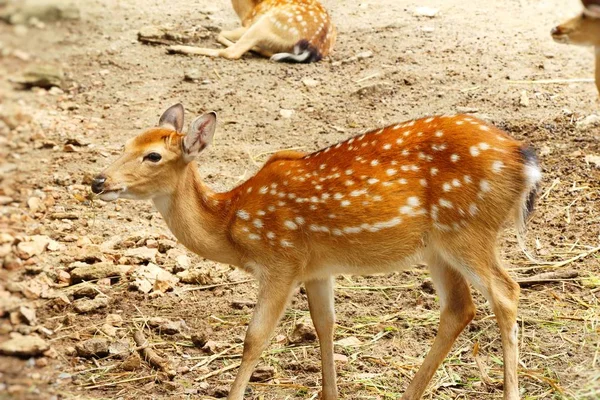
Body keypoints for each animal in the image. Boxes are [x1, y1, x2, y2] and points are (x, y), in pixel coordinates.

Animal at [90, 102, 544, 396]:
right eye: (127, 143)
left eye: (153, 155)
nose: (98, 181)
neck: (233, 222)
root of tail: (526, 160)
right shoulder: (317, 268)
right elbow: (325, 324)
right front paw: (330, 392)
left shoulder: (281, 260)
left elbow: (255, 338)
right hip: (439, 248)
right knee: (459, 308)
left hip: (468, 230)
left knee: (507, 292)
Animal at [166, 0, 336, 62]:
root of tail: (314, 47)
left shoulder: (248, 24)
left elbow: (220, 33)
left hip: (265, 24)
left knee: (232, 52)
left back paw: (175, 48)